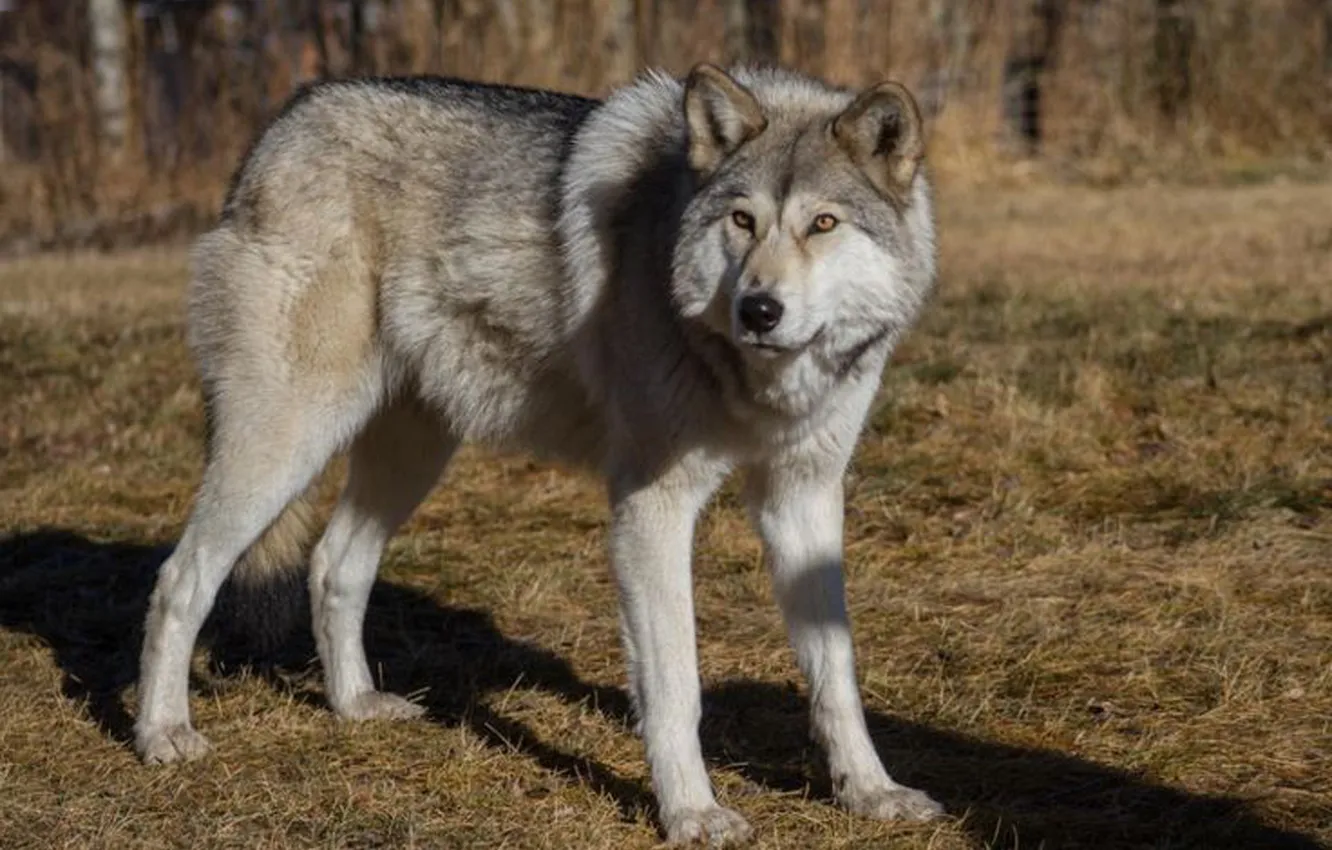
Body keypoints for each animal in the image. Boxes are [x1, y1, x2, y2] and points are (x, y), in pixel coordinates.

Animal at [134, 63, 942, 844]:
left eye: (823, 223)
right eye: (742, 221)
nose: (759, 310)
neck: (754, 378)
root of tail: (277, 129)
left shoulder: (804, 498)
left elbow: (836, 672)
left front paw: (871, 792)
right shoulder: (651, 506)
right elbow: (676, 686)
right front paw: (691, 813)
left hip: (412, 453)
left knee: (334, 563)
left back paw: (356, 704)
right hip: (289, 440)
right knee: (181, 577)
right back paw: (162, 733)